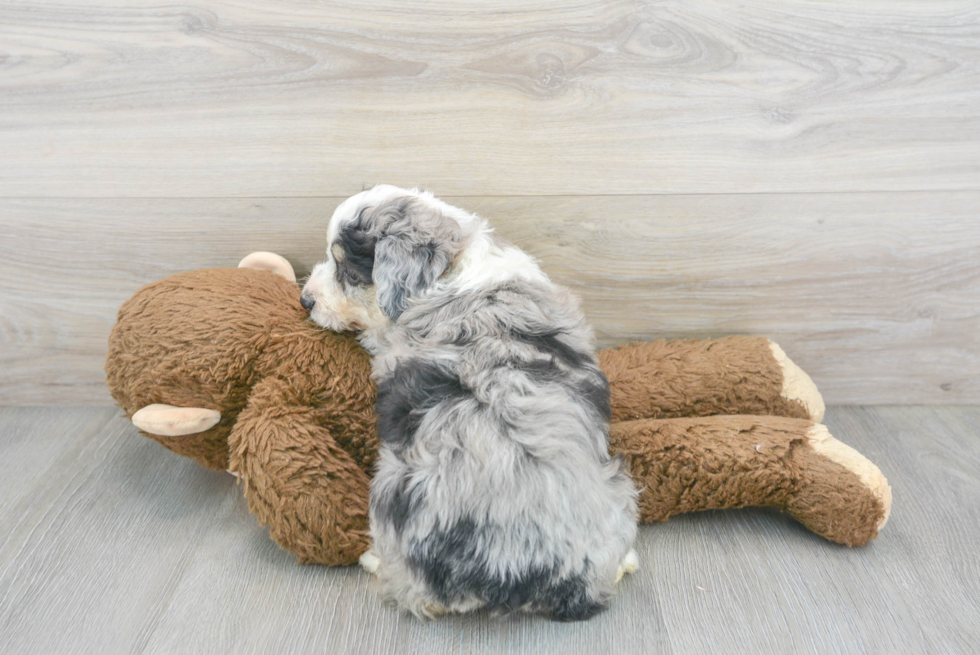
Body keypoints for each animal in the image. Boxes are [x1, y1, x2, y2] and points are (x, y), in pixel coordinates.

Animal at [302, 184, 640, 620]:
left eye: (348, 271)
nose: (304, 300)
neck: (452, 268)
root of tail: (510, 563)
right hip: (619, 487)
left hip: (392, 490)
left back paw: (372, 560)